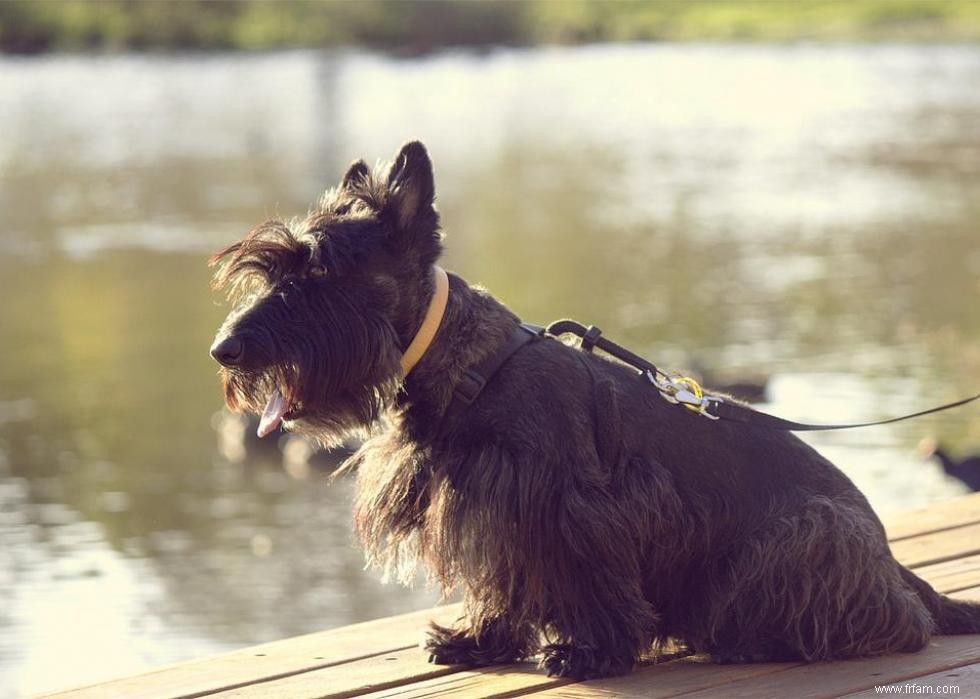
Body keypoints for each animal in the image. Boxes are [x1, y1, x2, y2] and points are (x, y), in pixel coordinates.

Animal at [209, 139, 980, 680]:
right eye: (273, 270)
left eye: (320, 270)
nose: (226, 349)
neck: (468, 368)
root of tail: (891, 562)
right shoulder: (494, 505)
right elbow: (503, 579)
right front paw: (480, 639)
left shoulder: (566, 504)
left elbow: (587, 577)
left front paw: (592, 653)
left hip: (808, 537)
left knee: (896, 624)